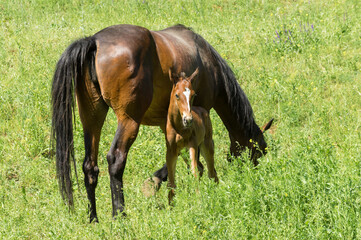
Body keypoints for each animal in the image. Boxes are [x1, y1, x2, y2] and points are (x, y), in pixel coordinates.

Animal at [165, 68, 218, 203]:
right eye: (177, 95)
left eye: (193, 95)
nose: (188, 120)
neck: (178, 128)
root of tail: (203, 110)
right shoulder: (171, 151)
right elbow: (171, 182)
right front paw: (170, 205)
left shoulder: (192, 146)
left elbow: (194, 173)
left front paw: (199, 201)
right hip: (184, 152)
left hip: (206, 145)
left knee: (211, 172)